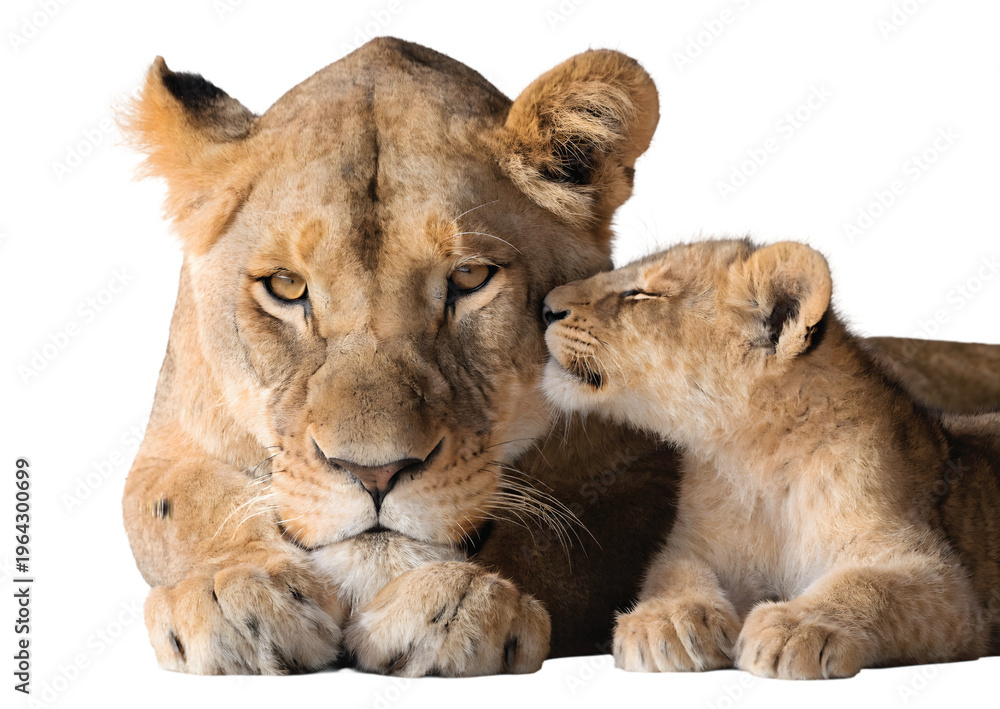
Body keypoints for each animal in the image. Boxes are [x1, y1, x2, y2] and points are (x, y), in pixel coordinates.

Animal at [541, 238, 1000, 679]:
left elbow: (869, 586)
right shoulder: (695, 547)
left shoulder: (939, 575)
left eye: (642, 293)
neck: (755, 458)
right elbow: (672, 573)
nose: (544, 306)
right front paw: (668, 623)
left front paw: (798, 628)